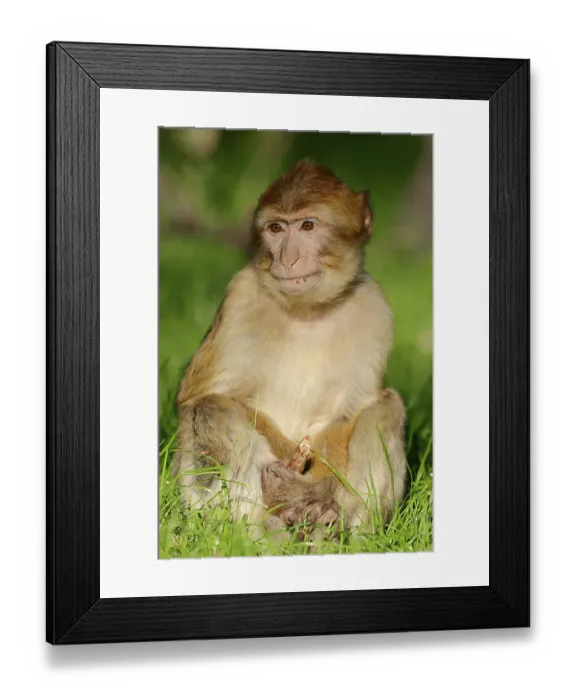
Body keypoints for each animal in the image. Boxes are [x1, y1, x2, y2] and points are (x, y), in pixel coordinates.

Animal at [171, 158, 407, 538]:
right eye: (276, 228)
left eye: (307, 226)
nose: (288, 258)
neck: (307, 311)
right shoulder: (240, 298)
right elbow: (207, 395)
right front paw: (288, 484)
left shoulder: (374, 309)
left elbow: (346, 412)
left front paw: (312, 494)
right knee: (210, 408)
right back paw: (259, 535)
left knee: (388, 406)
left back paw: (337, 530)